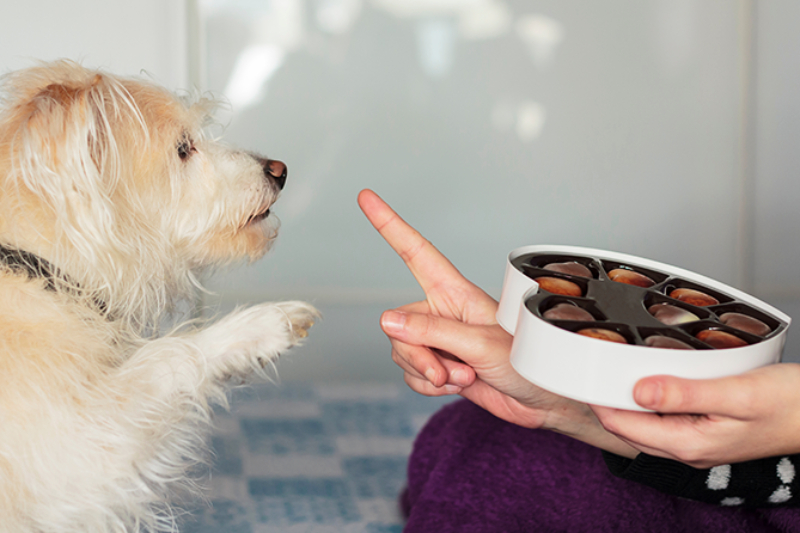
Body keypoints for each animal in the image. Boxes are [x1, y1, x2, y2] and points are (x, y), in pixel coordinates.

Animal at [0, 60, 318, 528]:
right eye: (183, 148)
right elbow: (167, 356)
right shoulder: (77, 451)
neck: (39, 268)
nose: (279, 170)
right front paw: (258, 327)